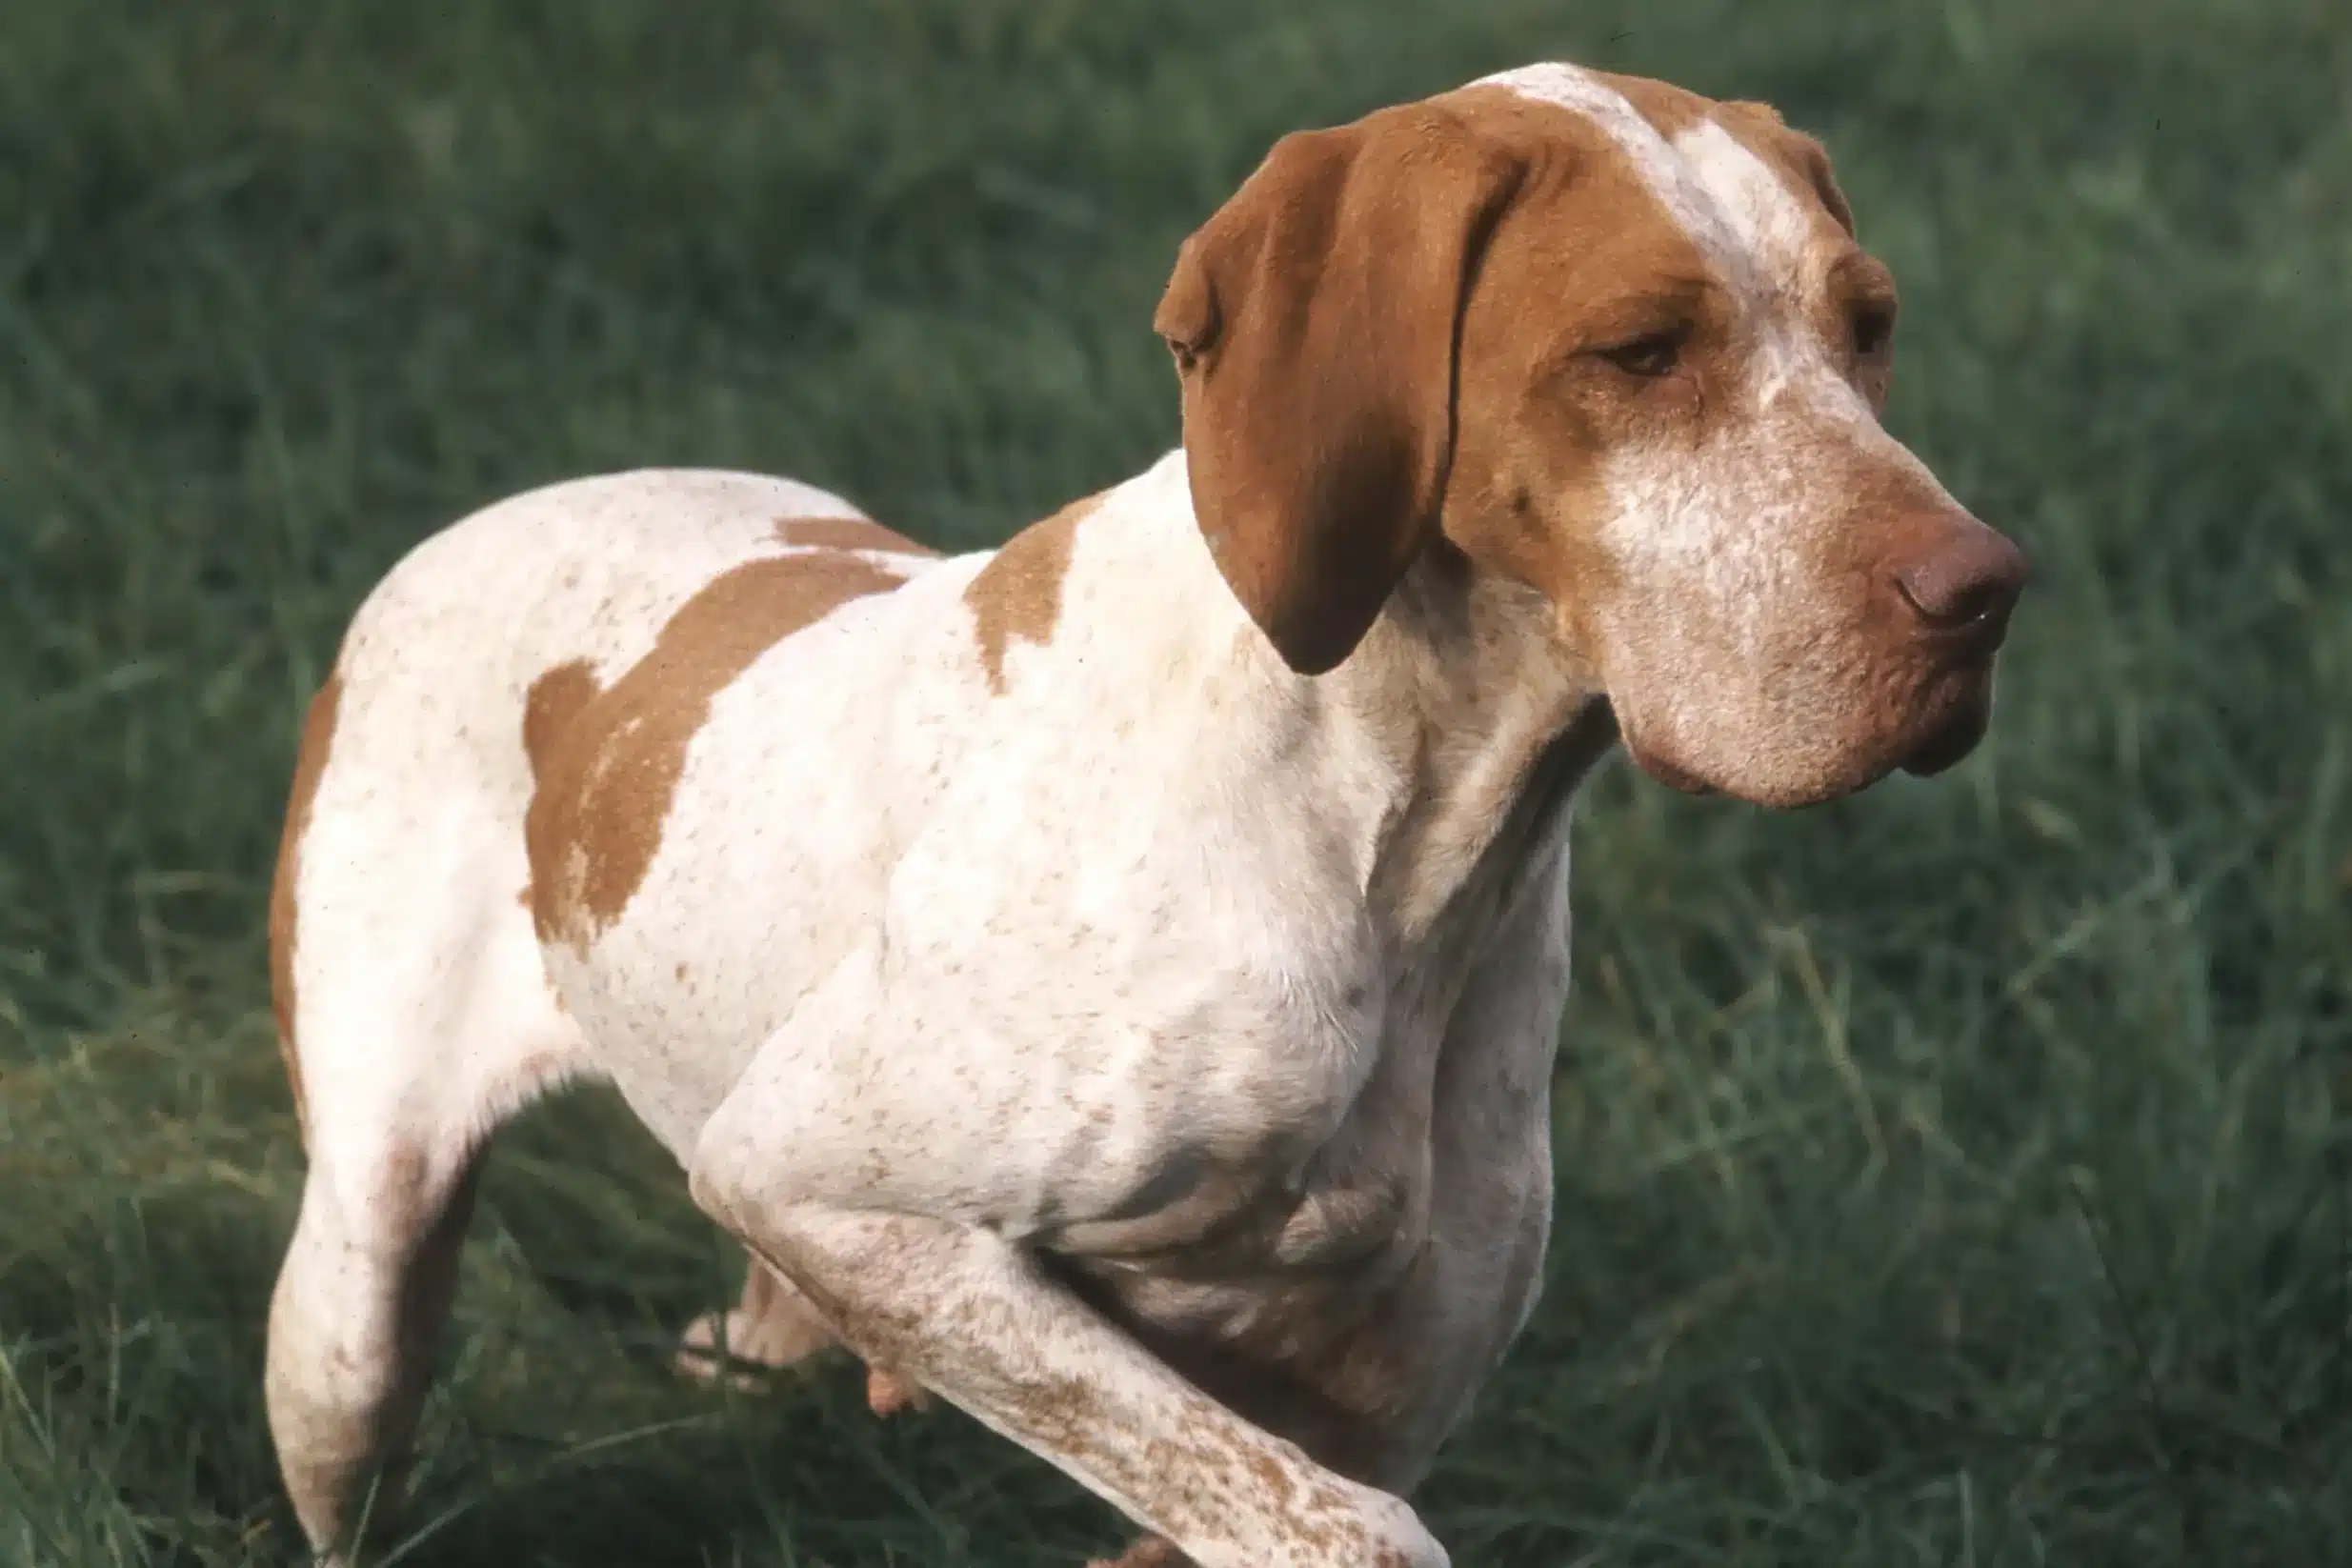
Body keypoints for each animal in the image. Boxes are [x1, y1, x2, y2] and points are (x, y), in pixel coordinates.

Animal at [257, 58, 2022, 1568]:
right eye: (1639, 351)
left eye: (1866, 328)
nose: (1985, 594)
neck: (1384, 826)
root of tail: (472, 524)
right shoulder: (825, 1185)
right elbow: (1348, 1525)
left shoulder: (1375, 1377)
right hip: (350, 1323)